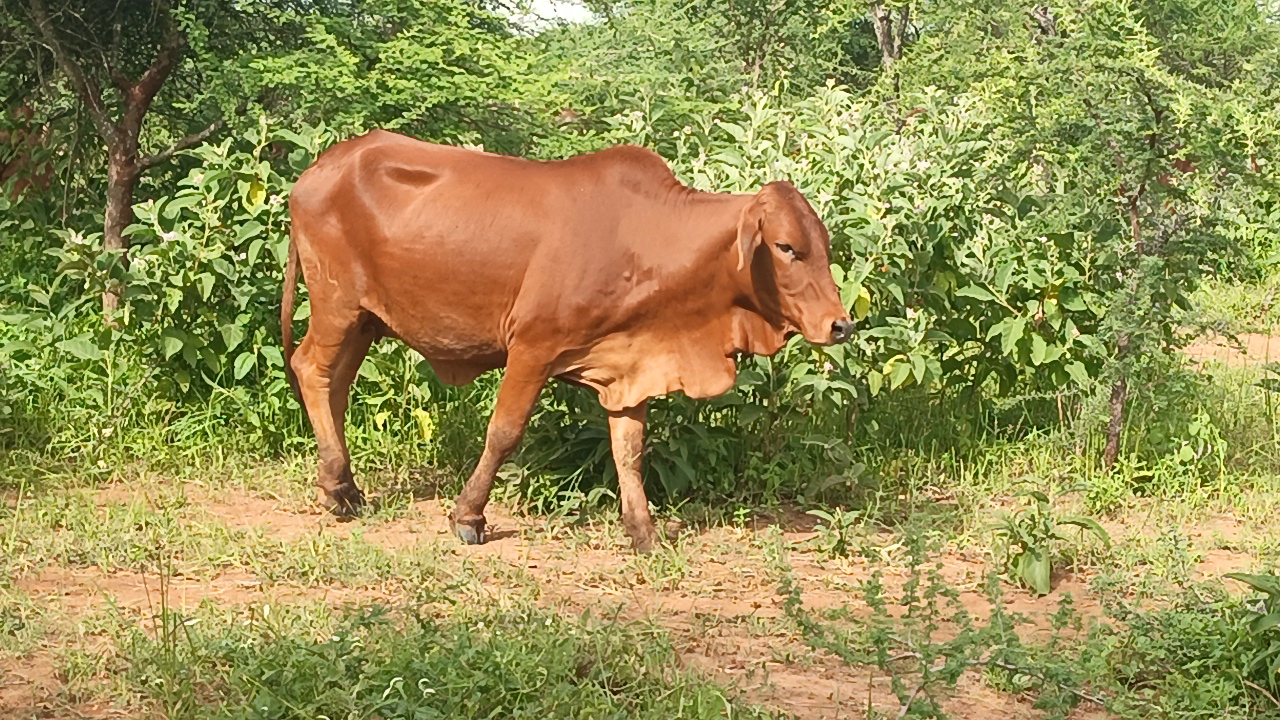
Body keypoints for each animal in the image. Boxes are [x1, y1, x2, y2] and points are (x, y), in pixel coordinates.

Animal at [281, 130, 853, 552]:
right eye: (786, 247)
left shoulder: (630, 367)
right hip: (337, 305)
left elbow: (629, 452)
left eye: (824, 245)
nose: (840, 325)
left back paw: (341, 486)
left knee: (335, 384)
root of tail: (319, 169)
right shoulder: (533, 347)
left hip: (364, 320)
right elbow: (503, 433)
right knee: (311, 369)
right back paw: (338, 487)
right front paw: (468, 516)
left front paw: (643, 532)